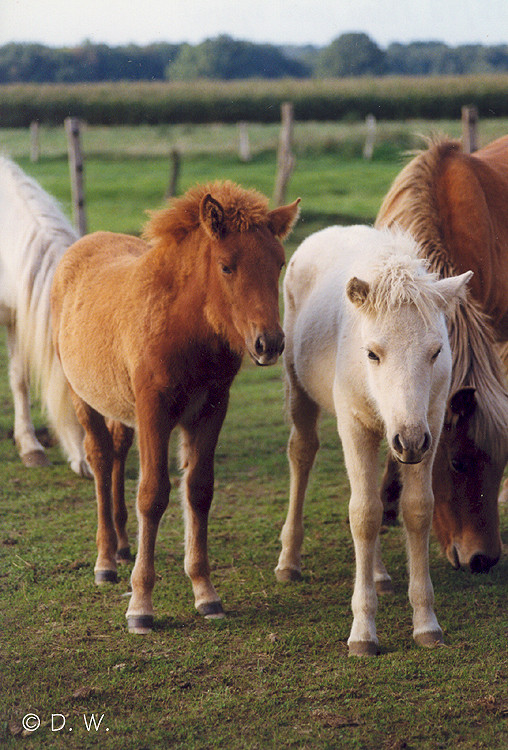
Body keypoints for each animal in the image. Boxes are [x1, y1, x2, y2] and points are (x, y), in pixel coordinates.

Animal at [52, 182, 300, 636]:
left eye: (279, 263)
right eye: (226, 266)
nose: (269, 343)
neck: (186, 326)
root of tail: (84, 243)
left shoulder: (212, 408)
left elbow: (199, 490)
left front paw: (205, 592)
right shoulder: (155, 410)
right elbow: (153, 495)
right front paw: (140, 605)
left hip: (120, 405)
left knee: (117, 452)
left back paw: (122, 546)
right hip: (84, 397)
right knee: (100, 457)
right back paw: (105, 561)